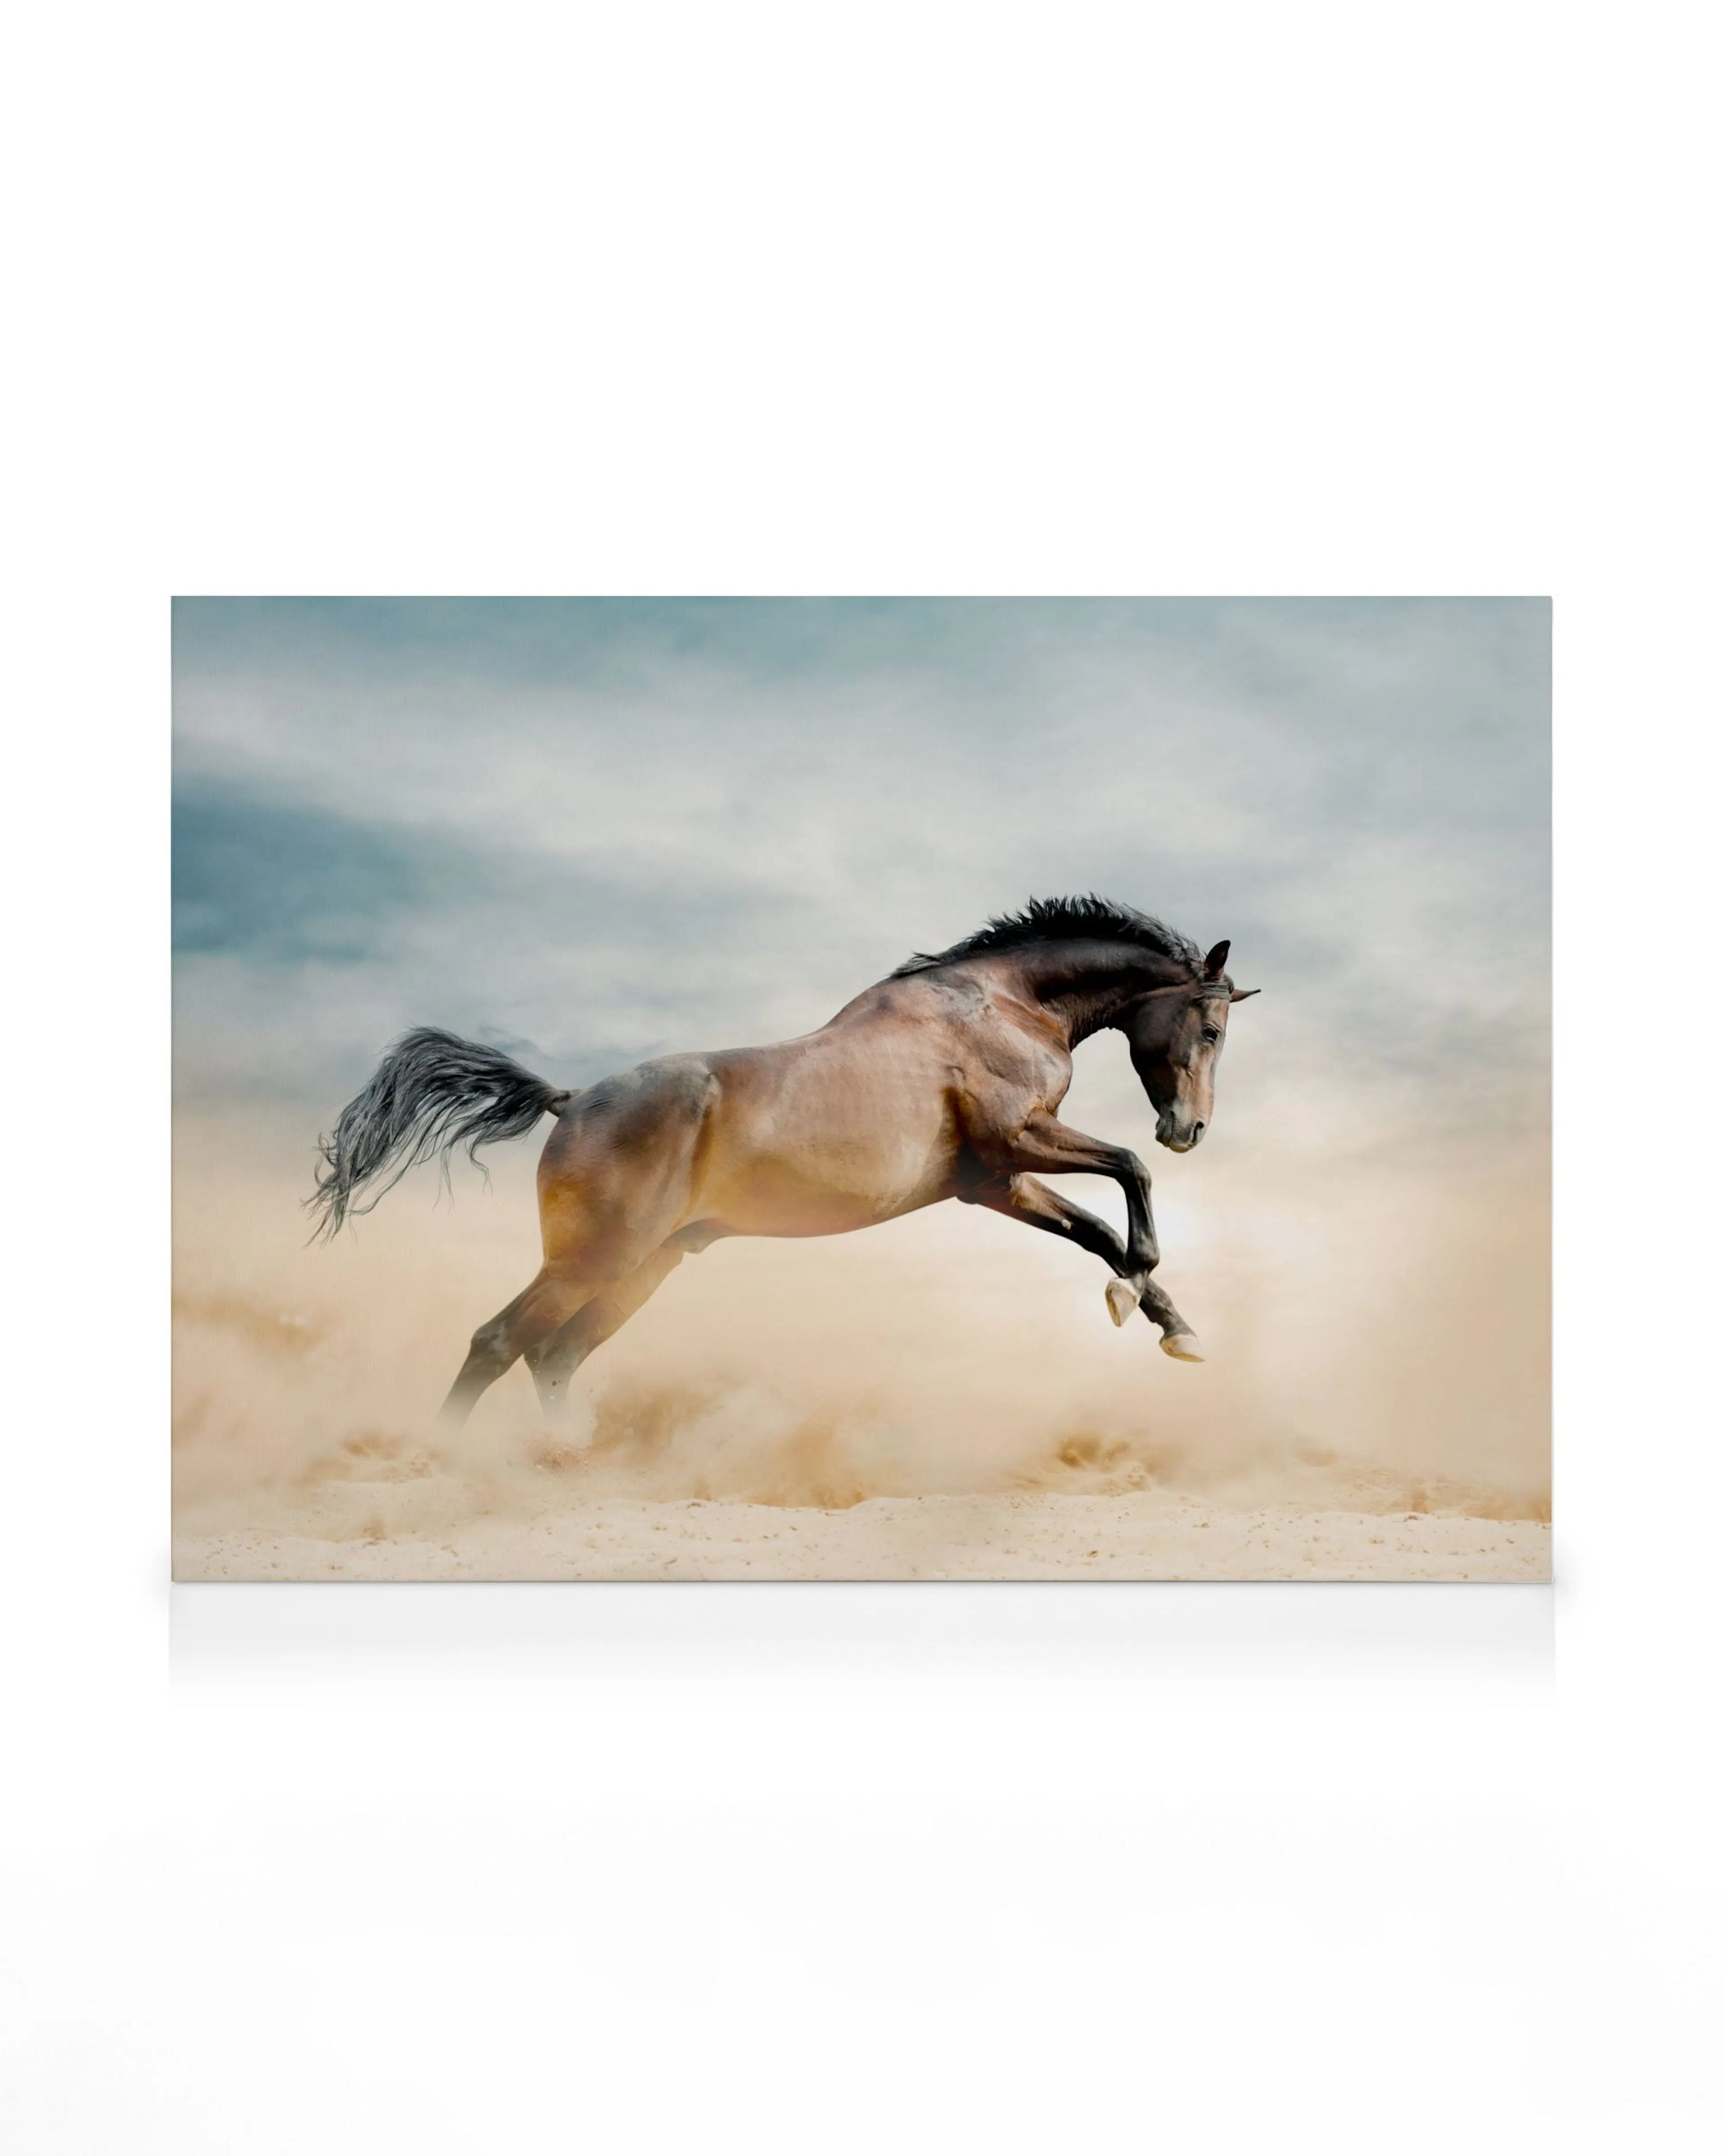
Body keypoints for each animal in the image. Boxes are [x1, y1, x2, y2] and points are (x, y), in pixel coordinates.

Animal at [308, 896, 1258, 1429]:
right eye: (1210, 1028)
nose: (1190, 1129)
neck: (1003, 1004)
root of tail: (571, 1103)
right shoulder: (1015, 1143)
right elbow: (1129, 1175)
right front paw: (1140, 1295)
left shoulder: (991, 1182)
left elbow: (1098, 1228)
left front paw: (1172, 1326)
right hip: (596, 1258)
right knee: (500, 1341)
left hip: (644, 1267)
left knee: (557, 1357)